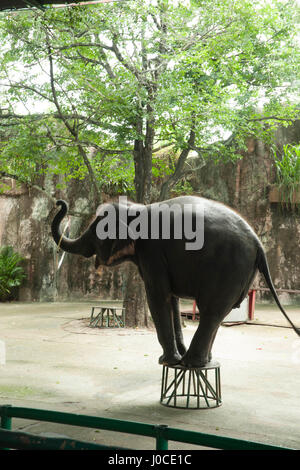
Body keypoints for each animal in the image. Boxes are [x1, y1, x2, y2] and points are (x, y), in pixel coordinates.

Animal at [51, 195, 300, 368]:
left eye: (95, 229)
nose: (59, 202)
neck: (137, 208)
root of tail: (258, 243)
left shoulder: (152, 252)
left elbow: (158, 297)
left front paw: (167, 361)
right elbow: (172, 299)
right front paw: (175, 357)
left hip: (229, 268)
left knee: (210, 311)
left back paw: (191, 363)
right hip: (241, 272)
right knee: (218, 314)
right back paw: (201, 361)